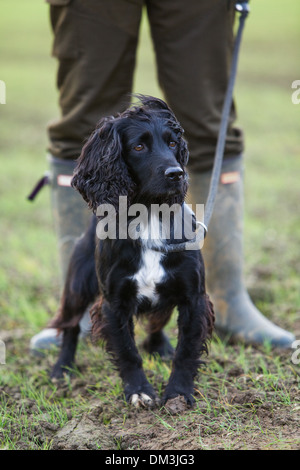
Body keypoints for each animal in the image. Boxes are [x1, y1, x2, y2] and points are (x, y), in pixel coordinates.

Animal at [49, 96, 213, 408]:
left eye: (173, 143)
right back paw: (62, 369)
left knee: (157, 322)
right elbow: (127, 350)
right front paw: (139, 390)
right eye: (139, 147)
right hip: (79, 283)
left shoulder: (193, 297)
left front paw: (178, 392)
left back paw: (160, 347)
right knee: (70, 325)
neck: (149, 215)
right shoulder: (114, 302)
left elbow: (186, 350)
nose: (177, 174)